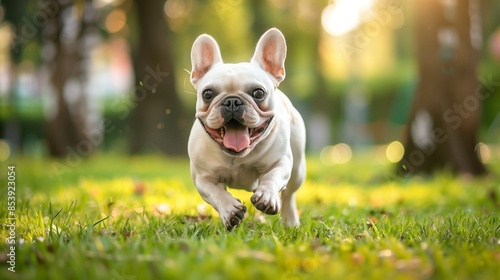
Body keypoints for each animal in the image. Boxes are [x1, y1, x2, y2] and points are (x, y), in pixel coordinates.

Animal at [187, 28, 304, 230]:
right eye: (207, 94)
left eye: (258, 93)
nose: (232, 101)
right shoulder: (203, 177)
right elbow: (215, 193)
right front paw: (229, 210)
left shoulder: (280, 162)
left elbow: (272, 177)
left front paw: (267, 196)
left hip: (298, 169)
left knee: (289, 195)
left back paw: (290, 221)